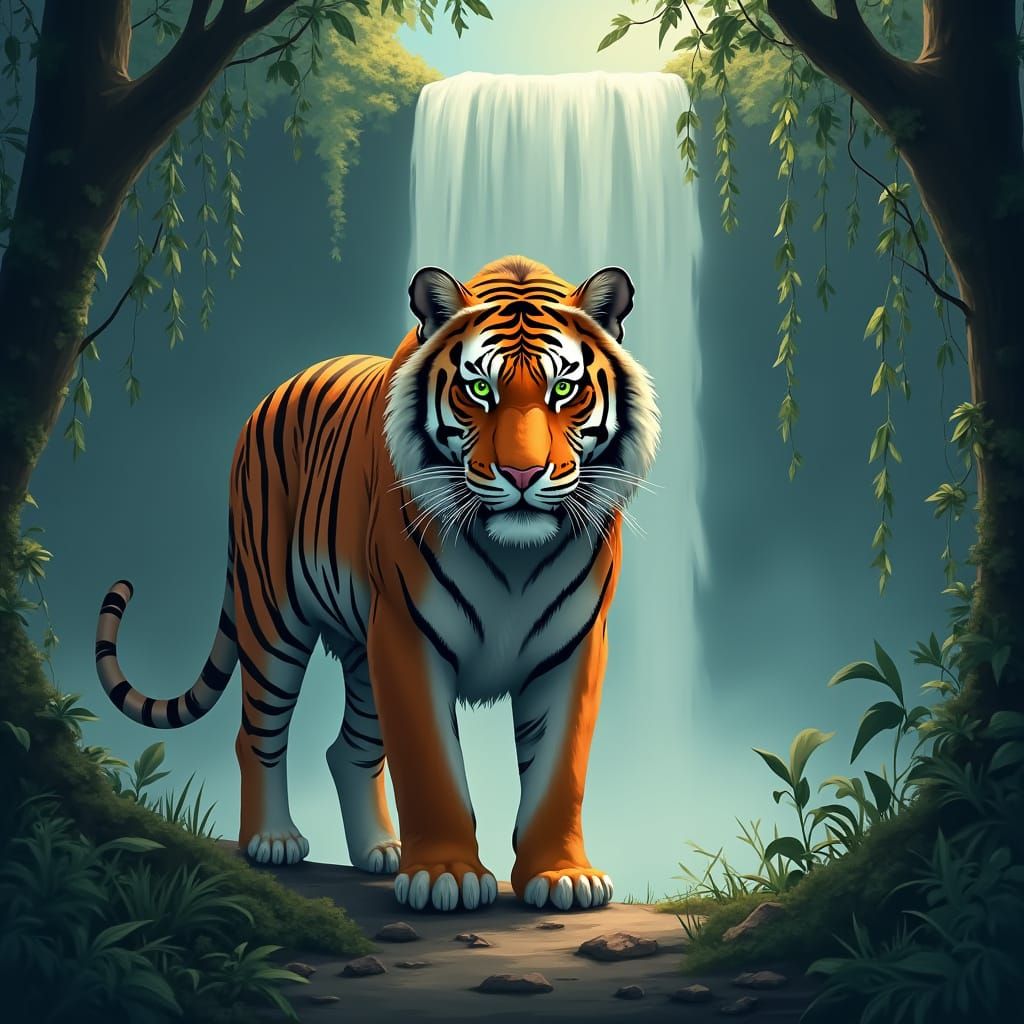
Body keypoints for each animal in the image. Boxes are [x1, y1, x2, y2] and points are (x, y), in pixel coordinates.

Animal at [95, 255, 659, 912]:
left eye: (564, 389)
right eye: (479, 389)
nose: (522, 474)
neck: (514, 557)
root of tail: (277, 389)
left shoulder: (573, 647)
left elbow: (558, 771)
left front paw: (563, 875)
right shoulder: (407, 635)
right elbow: (430, 764)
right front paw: (446, 875)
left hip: (362, 652)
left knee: (350, 748)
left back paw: (379, 852)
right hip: (274, 617)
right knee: (256, 732)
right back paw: (273, 838)